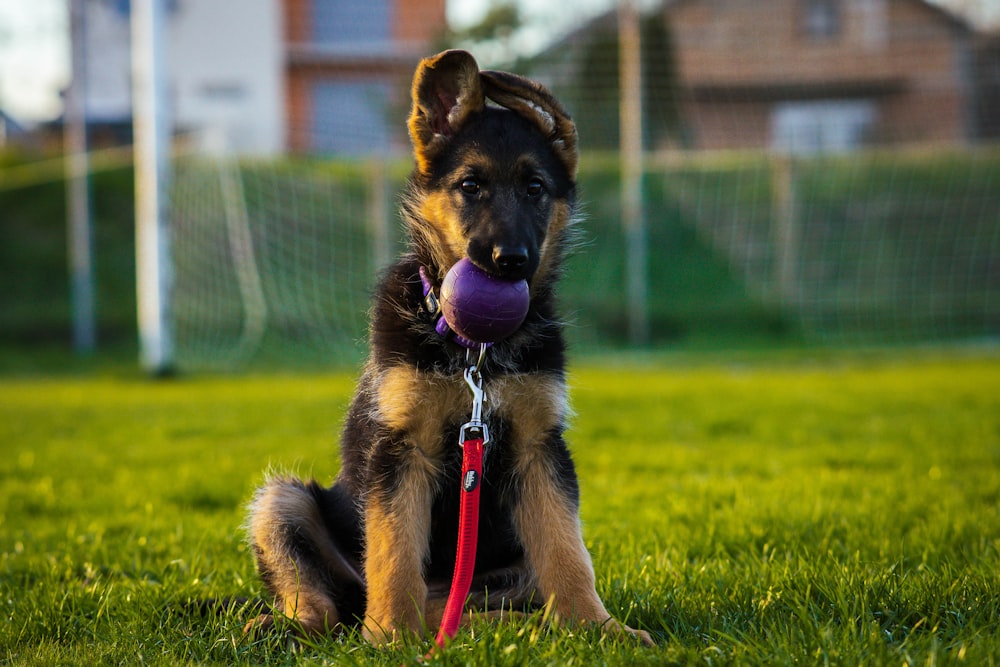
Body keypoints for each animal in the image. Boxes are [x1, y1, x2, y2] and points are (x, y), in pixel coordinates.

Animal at [246, 51, 656, 648]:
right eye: (470, 185)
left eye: (535, 188)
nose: (510, 261)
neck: (474, 351)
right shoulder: (402, 448)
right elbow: (393, 551)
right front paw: (390, 637)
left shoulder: (539, 446)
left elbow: (567, 550)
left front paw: (597, 627)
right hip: (283, 503)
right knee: (326, 604)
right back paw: (299, 626)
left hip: (508, 569)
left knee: (475, 605)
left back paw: (507, 628)